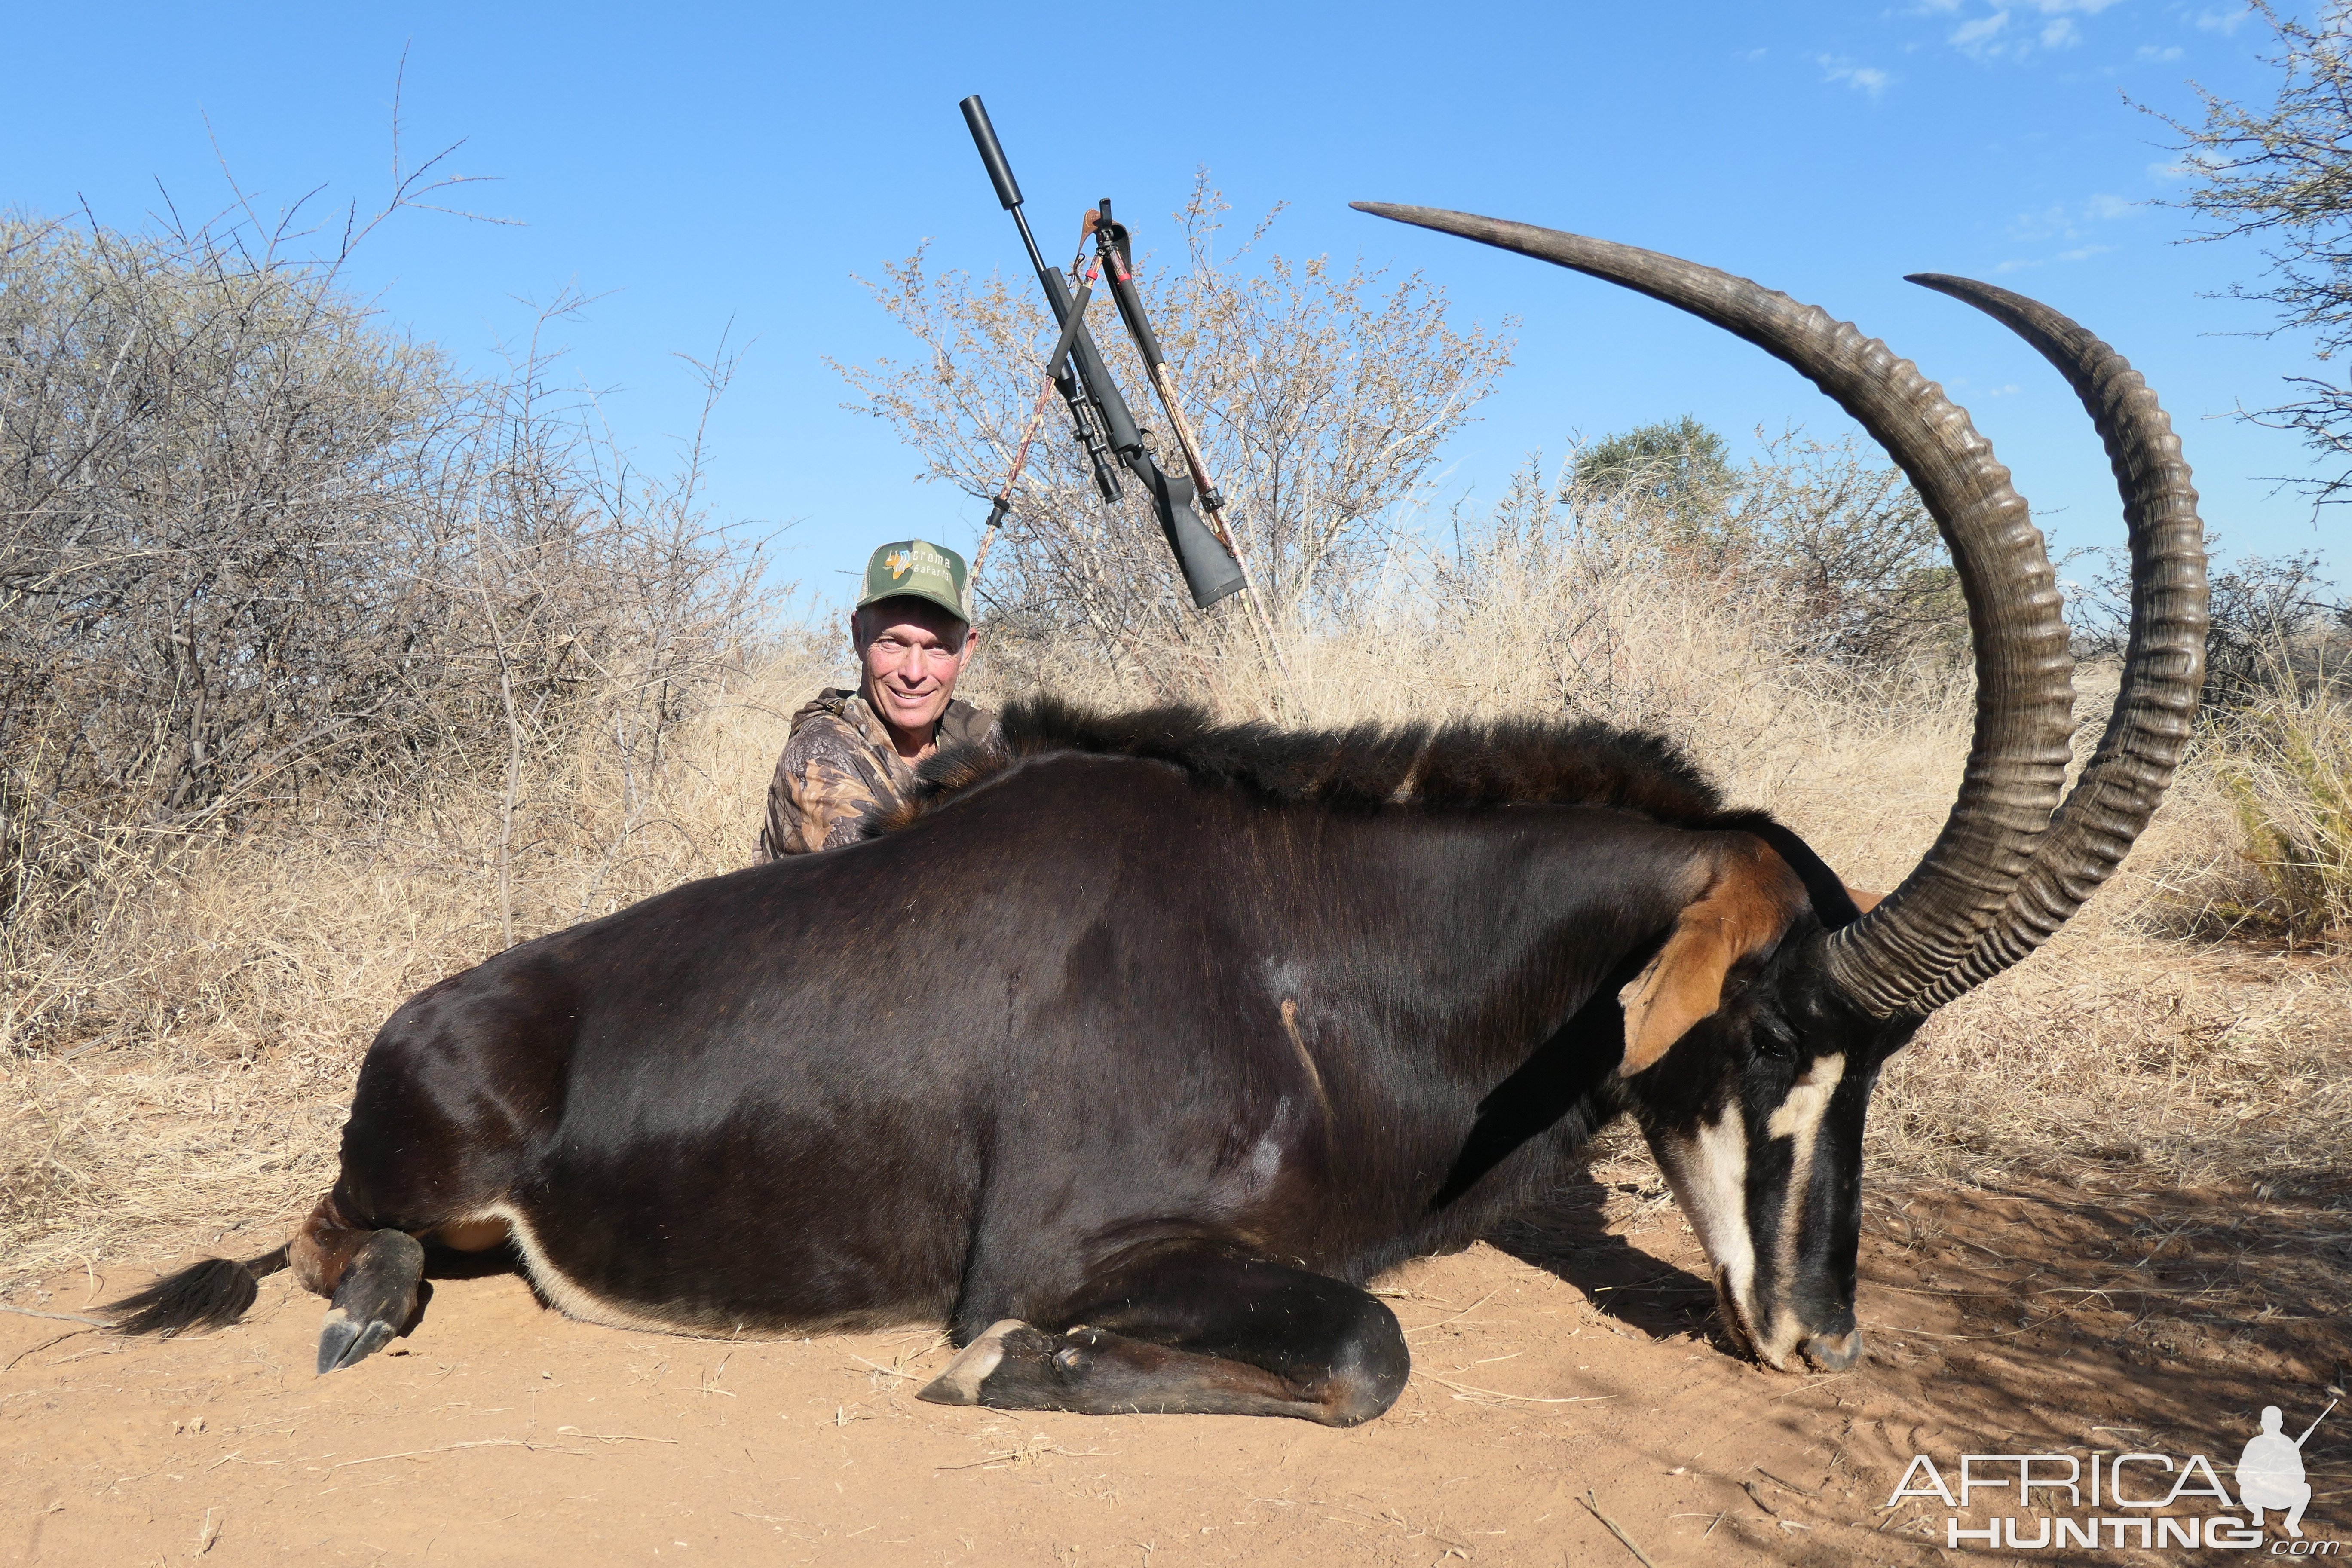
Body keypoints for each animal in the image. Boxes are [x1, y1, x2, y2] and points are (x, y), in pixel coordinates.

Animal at [110, 215, 2201, 1429]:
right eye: (1767, 1033)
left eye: (1878, 1064)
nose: (1821, 1337)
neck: (1306, 945)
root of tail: (428, 1011)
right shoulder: (1065, 1238)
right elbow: (1360, 1348)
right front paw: (1008, 1367)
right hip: (426, 1164)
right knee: (334, 1237)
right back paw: (363, 1313)